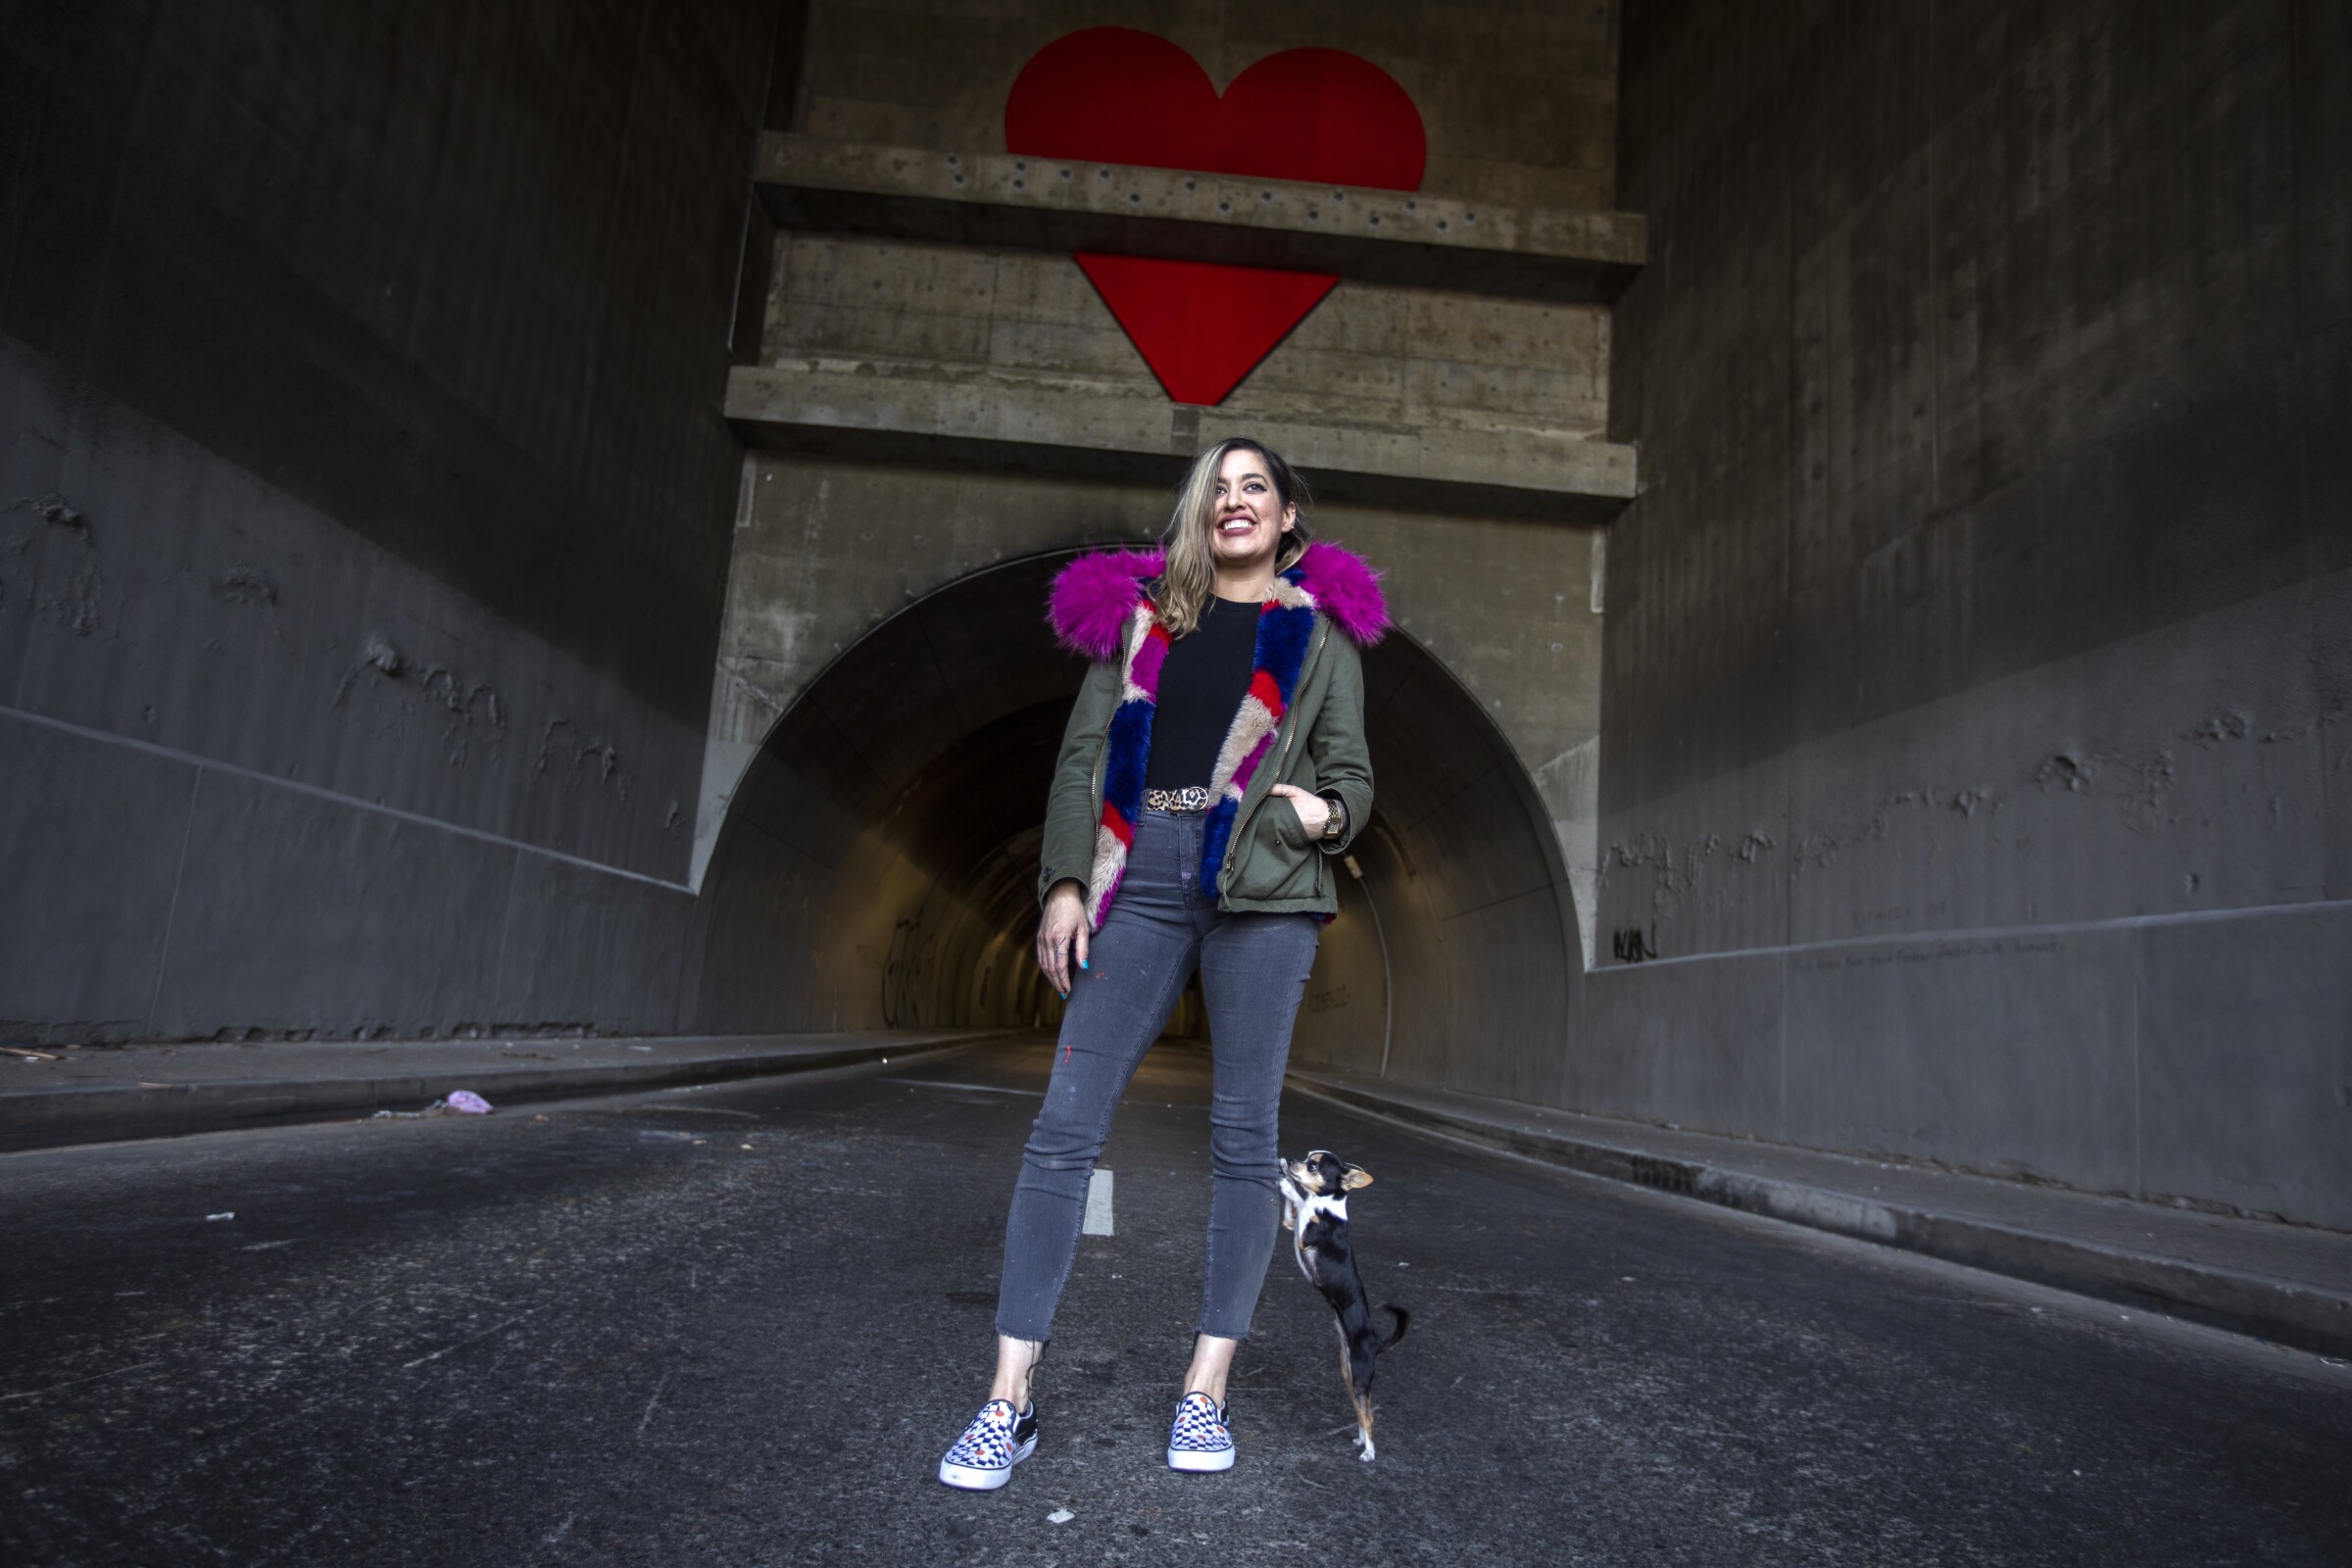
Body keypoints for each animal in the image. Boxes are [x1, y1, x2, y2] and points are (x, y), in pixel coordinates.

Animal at [1279, 1152, 1401, 1457]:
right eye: (1307, 1157)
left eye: (1313, 1166)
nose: (1296, 1161)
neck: (1327, 1205)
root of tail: (1375, 1341)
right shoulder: (1292, 1226)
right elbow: (1293, 1209)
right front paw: (1284, 1174)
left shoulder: (1305, 1236)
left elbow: (1301, 1201)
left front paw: (1289, 1184)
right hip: (1348, 1373)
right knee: (1361, 1411)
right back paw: (1361, 1440)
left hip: (1359, 1376)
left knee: (1369, 1416)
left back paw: (1369, 1452)